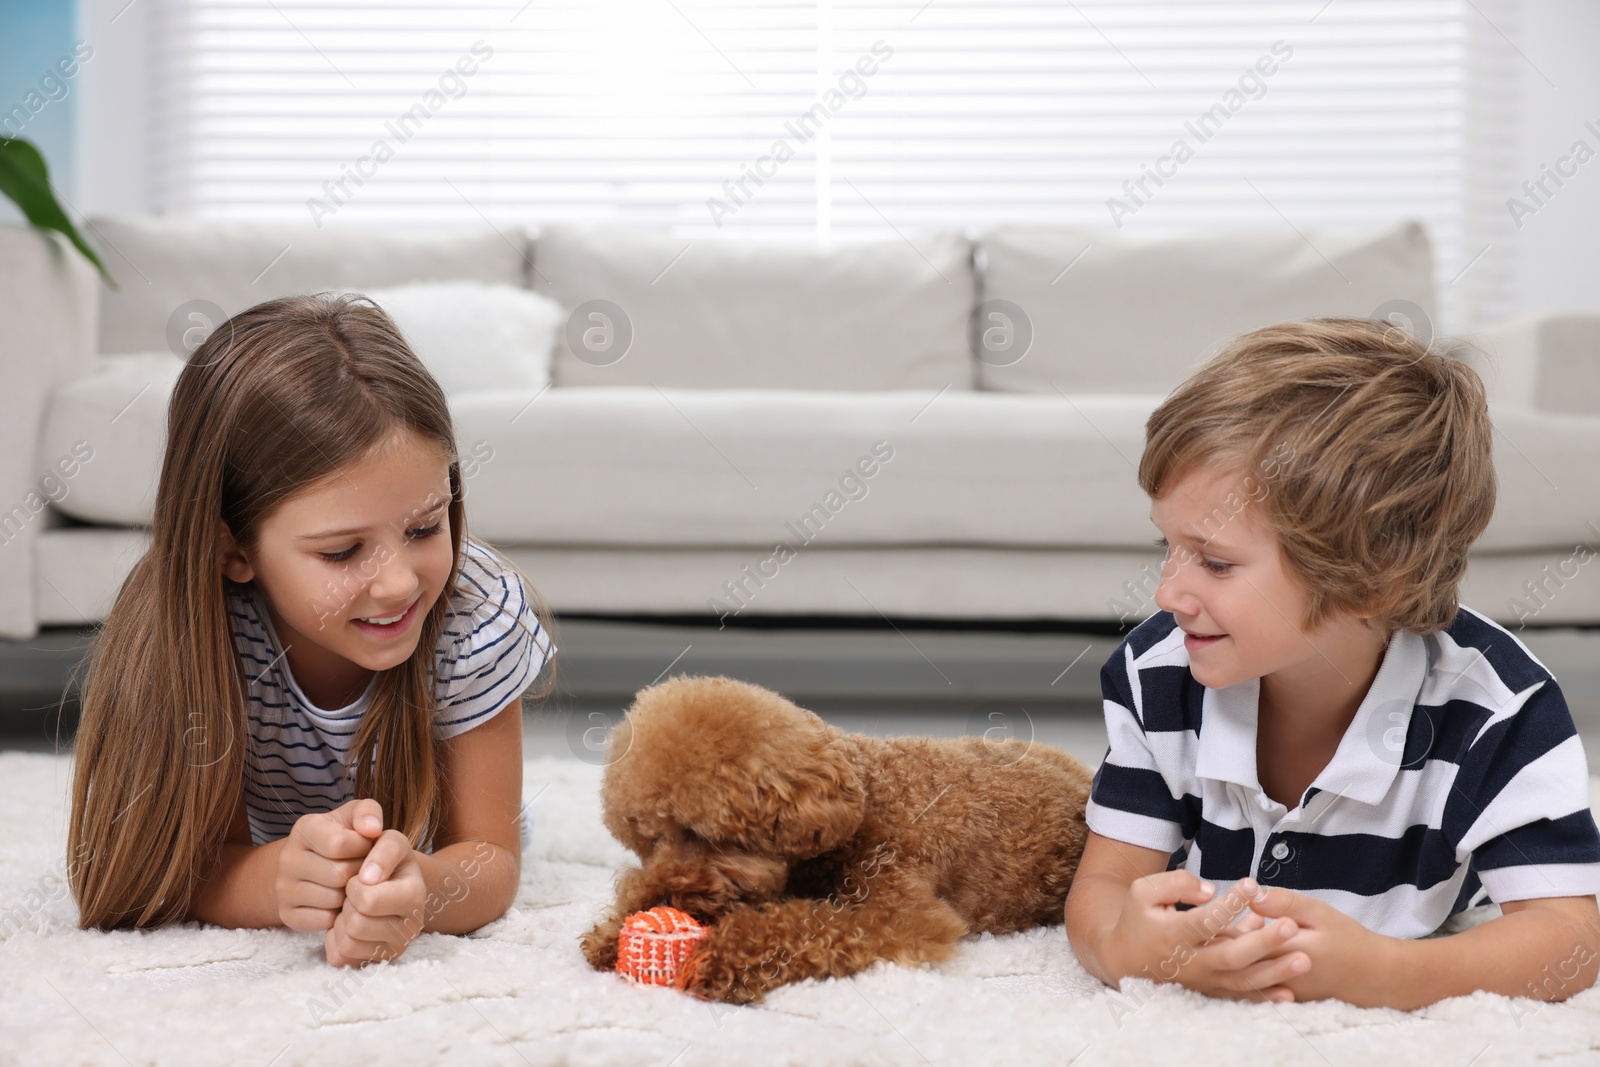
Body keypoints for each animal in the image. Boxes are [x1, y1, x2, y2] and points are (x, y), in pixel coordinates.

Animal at [579, 675, 1100, 1004]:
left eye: (700, 832)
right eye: (649, 841)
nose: (661, 900)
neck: (862, 799)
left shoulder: (903, 914)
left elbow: (805, 924)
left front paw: (720, 956)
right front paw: (609, 935)